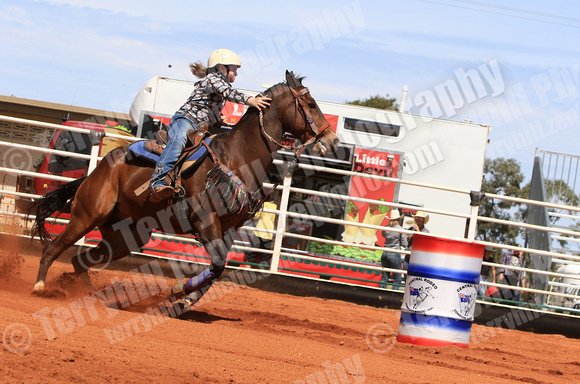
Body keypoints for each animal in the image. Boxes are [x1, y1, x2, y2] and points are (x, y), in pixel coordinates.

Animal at [30, 70, 340, 300]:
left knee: (79, 261)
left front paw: (184, 297)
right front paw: (180, 291)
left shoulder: (229, 228)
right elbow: (217, 265)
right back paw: (40, 286)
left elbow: (218, 269)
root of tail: (98, 171)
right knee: (52, 249)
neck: (237, 155)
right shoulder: (205, 221)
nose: (333, 140)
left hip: (125, 236)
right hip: (87, 216)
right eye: (311, 104)